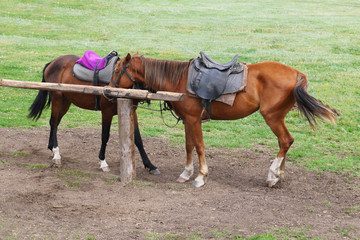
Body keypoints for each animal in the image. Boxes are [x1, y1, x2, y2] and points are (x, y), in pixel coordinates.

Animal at [26, 54, 159, 174]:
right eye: (116, 71)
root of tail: (52, 62)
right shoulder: (107, 112)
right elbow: (105, 136)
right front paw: (103, 162)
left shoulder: (131, 111)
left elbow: (138, 139)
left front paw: (150, 165)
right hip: (57, 99)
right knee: (54, 123)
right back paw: (56, 154)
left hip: (66, 101)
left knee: (54, 123)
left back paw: (51, 148)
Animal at [112, 52, 338, 188]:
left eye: (116, 71)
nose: (109, 91)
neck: (180, 80)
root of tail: (297, 74)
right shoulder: (187, 120)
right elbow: (188, 146)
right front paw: (186, 173)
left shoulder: (194, 119)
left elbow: (199, 146)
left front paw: (201, 176)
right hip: (277, 117)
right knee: (286, 142)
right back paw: (278, 175)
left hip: (272, 116)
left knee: (285, 141)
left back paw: (272, 174)